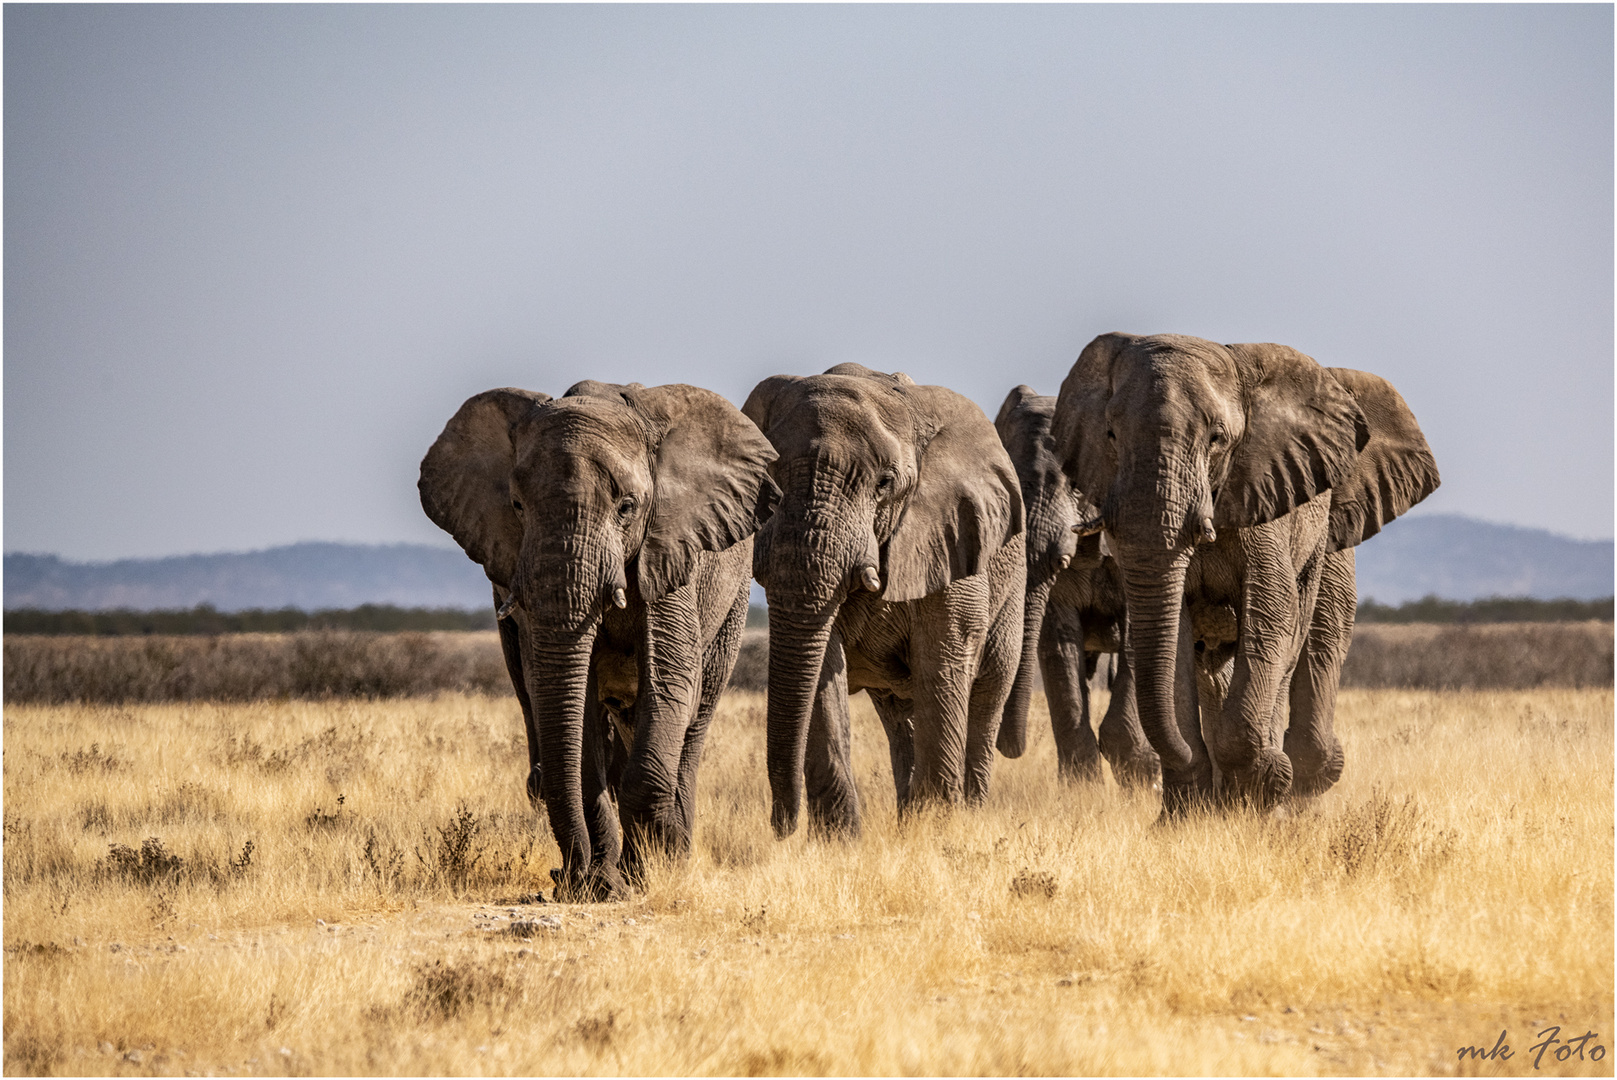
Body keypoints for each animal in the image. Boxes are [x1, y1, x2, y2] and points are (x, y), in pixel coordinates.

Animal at [420, 383, 779, 898]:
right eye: (517, 506)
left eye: (627, 507)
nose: (564, 878)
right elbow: (569, 702)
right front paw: (603, 887)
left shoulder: (670, 553)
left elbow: (670, 680)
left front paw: (650, 869)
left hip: (732, 604)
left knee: (695, 716)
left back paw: (673, 849)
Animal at [740, 362, 1021, 834]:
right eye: (768, 482)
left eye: (885, 483)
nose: (781, 826)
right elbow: (821, 667)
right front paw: (840, 840)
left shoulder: (953, 531)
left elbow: (945, 654)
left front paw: (936, 831)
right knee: (900, 716)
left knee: (986, 694)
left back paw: (965, 812)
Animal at [989, 386, 1157, 785]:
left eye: (1076, 484)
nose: (1009, 747)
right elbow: (1058, 643)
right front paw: (1082, 786)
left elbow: (1137, 630)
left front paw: (1145, 775)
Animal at [1047, 333, 1442, 814]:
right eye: (1111, 435)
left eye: (1217, 438)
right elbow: (1172, 633)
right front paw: (1188, 812)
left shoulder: (1267, 497)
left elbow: (1271, 611)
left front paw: (1260, 788)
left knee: (1308, 637)